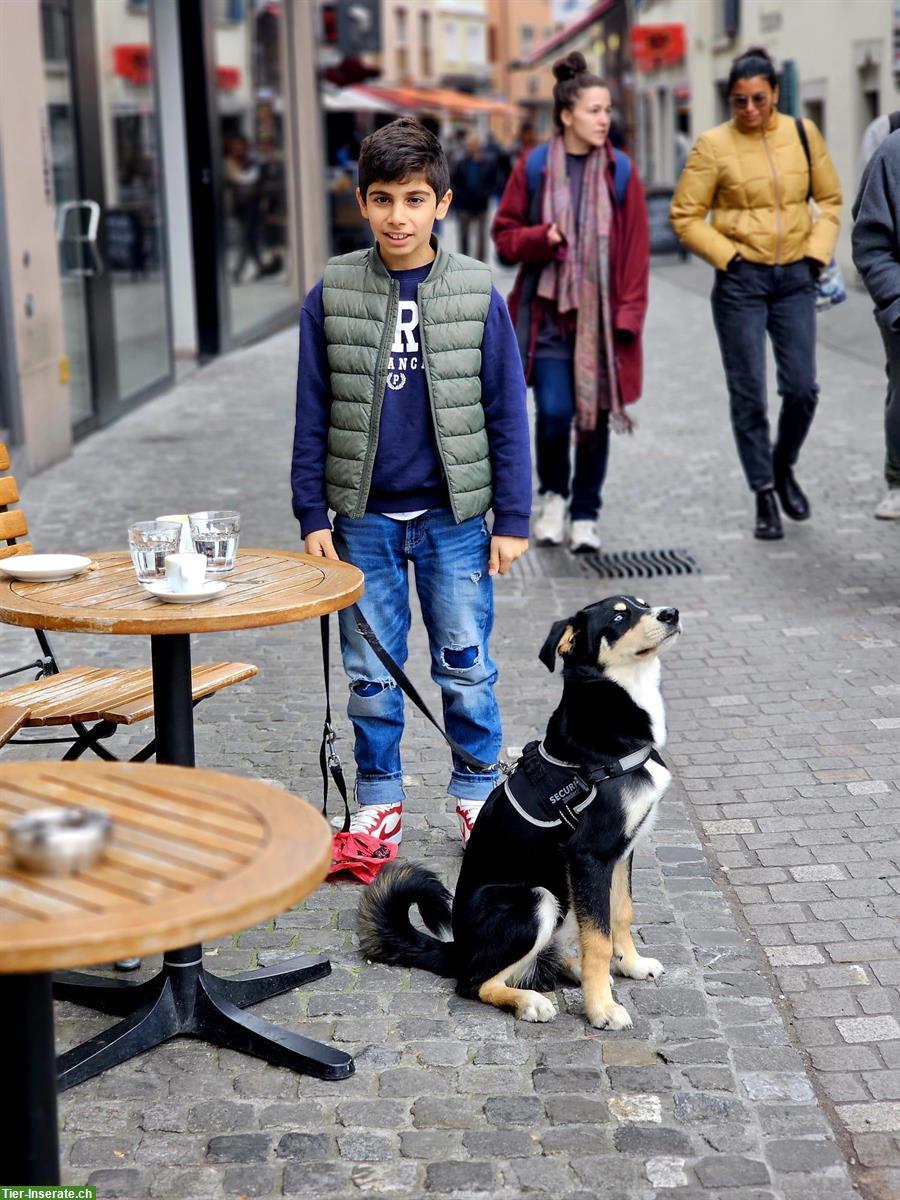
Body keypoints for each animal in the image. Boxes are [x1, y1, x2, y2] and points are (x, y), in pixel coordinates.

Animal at [355, 595, 681, 1027]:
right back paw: (529, 1001)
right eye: (618, 616)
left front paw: (631, 964)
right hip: (535, 899)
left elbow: (619, 914)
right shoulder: (590, 855)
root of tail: (457, 948)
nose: (672, 614)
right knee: (474, 982)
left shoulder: (621, 852)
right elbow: (598, 939)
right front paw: (602, 1008)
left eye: (643, 604)